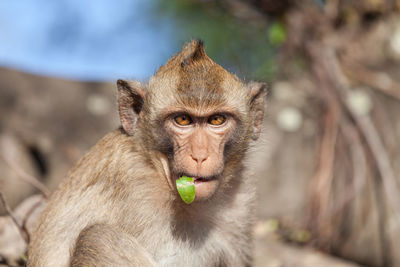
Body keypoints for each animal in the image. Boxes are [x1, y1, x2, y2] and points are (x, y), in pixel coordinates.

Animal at [27, 40, 266, 267]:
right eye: (183, 120)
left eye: (217, 120)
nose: (200, 155)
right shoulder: (136, 189)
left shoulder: (239, 202)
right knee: (98, 238)